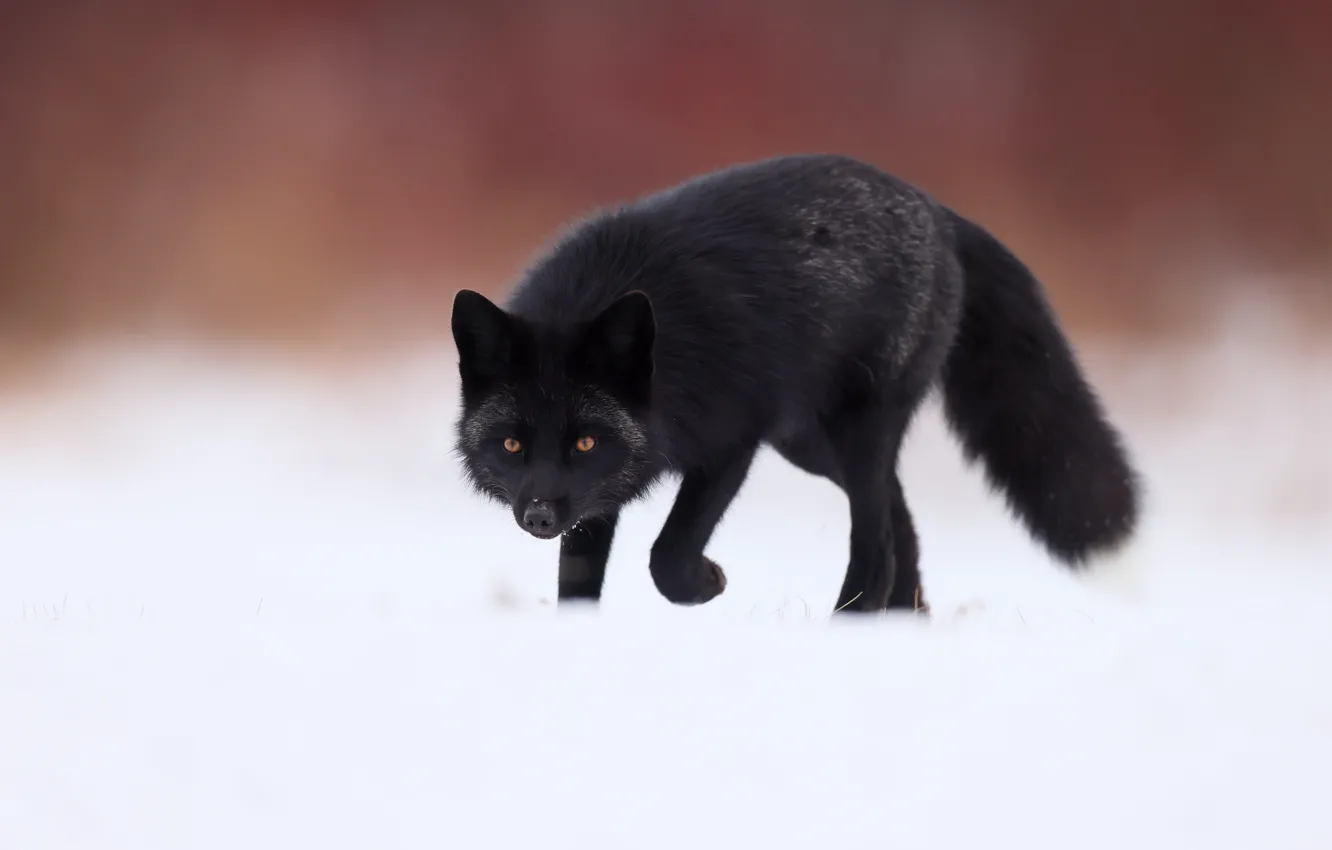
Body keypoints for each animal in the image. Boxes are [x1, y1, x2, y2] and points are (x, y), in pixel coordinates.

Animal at [450, 153, 1140, 614]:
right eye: (512, 445)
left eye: (585, 442)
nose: (539, 516)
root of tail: (939, 211)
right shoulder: (602, 493)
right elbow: (577, 584)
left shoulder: (731, 442)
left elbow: (667, 557)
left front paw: (705, 583)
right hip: (809, 444)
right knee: (900, 520)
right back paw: (902, 618)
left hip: (857, 429)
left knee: (876, 538)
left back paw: (852, 623)